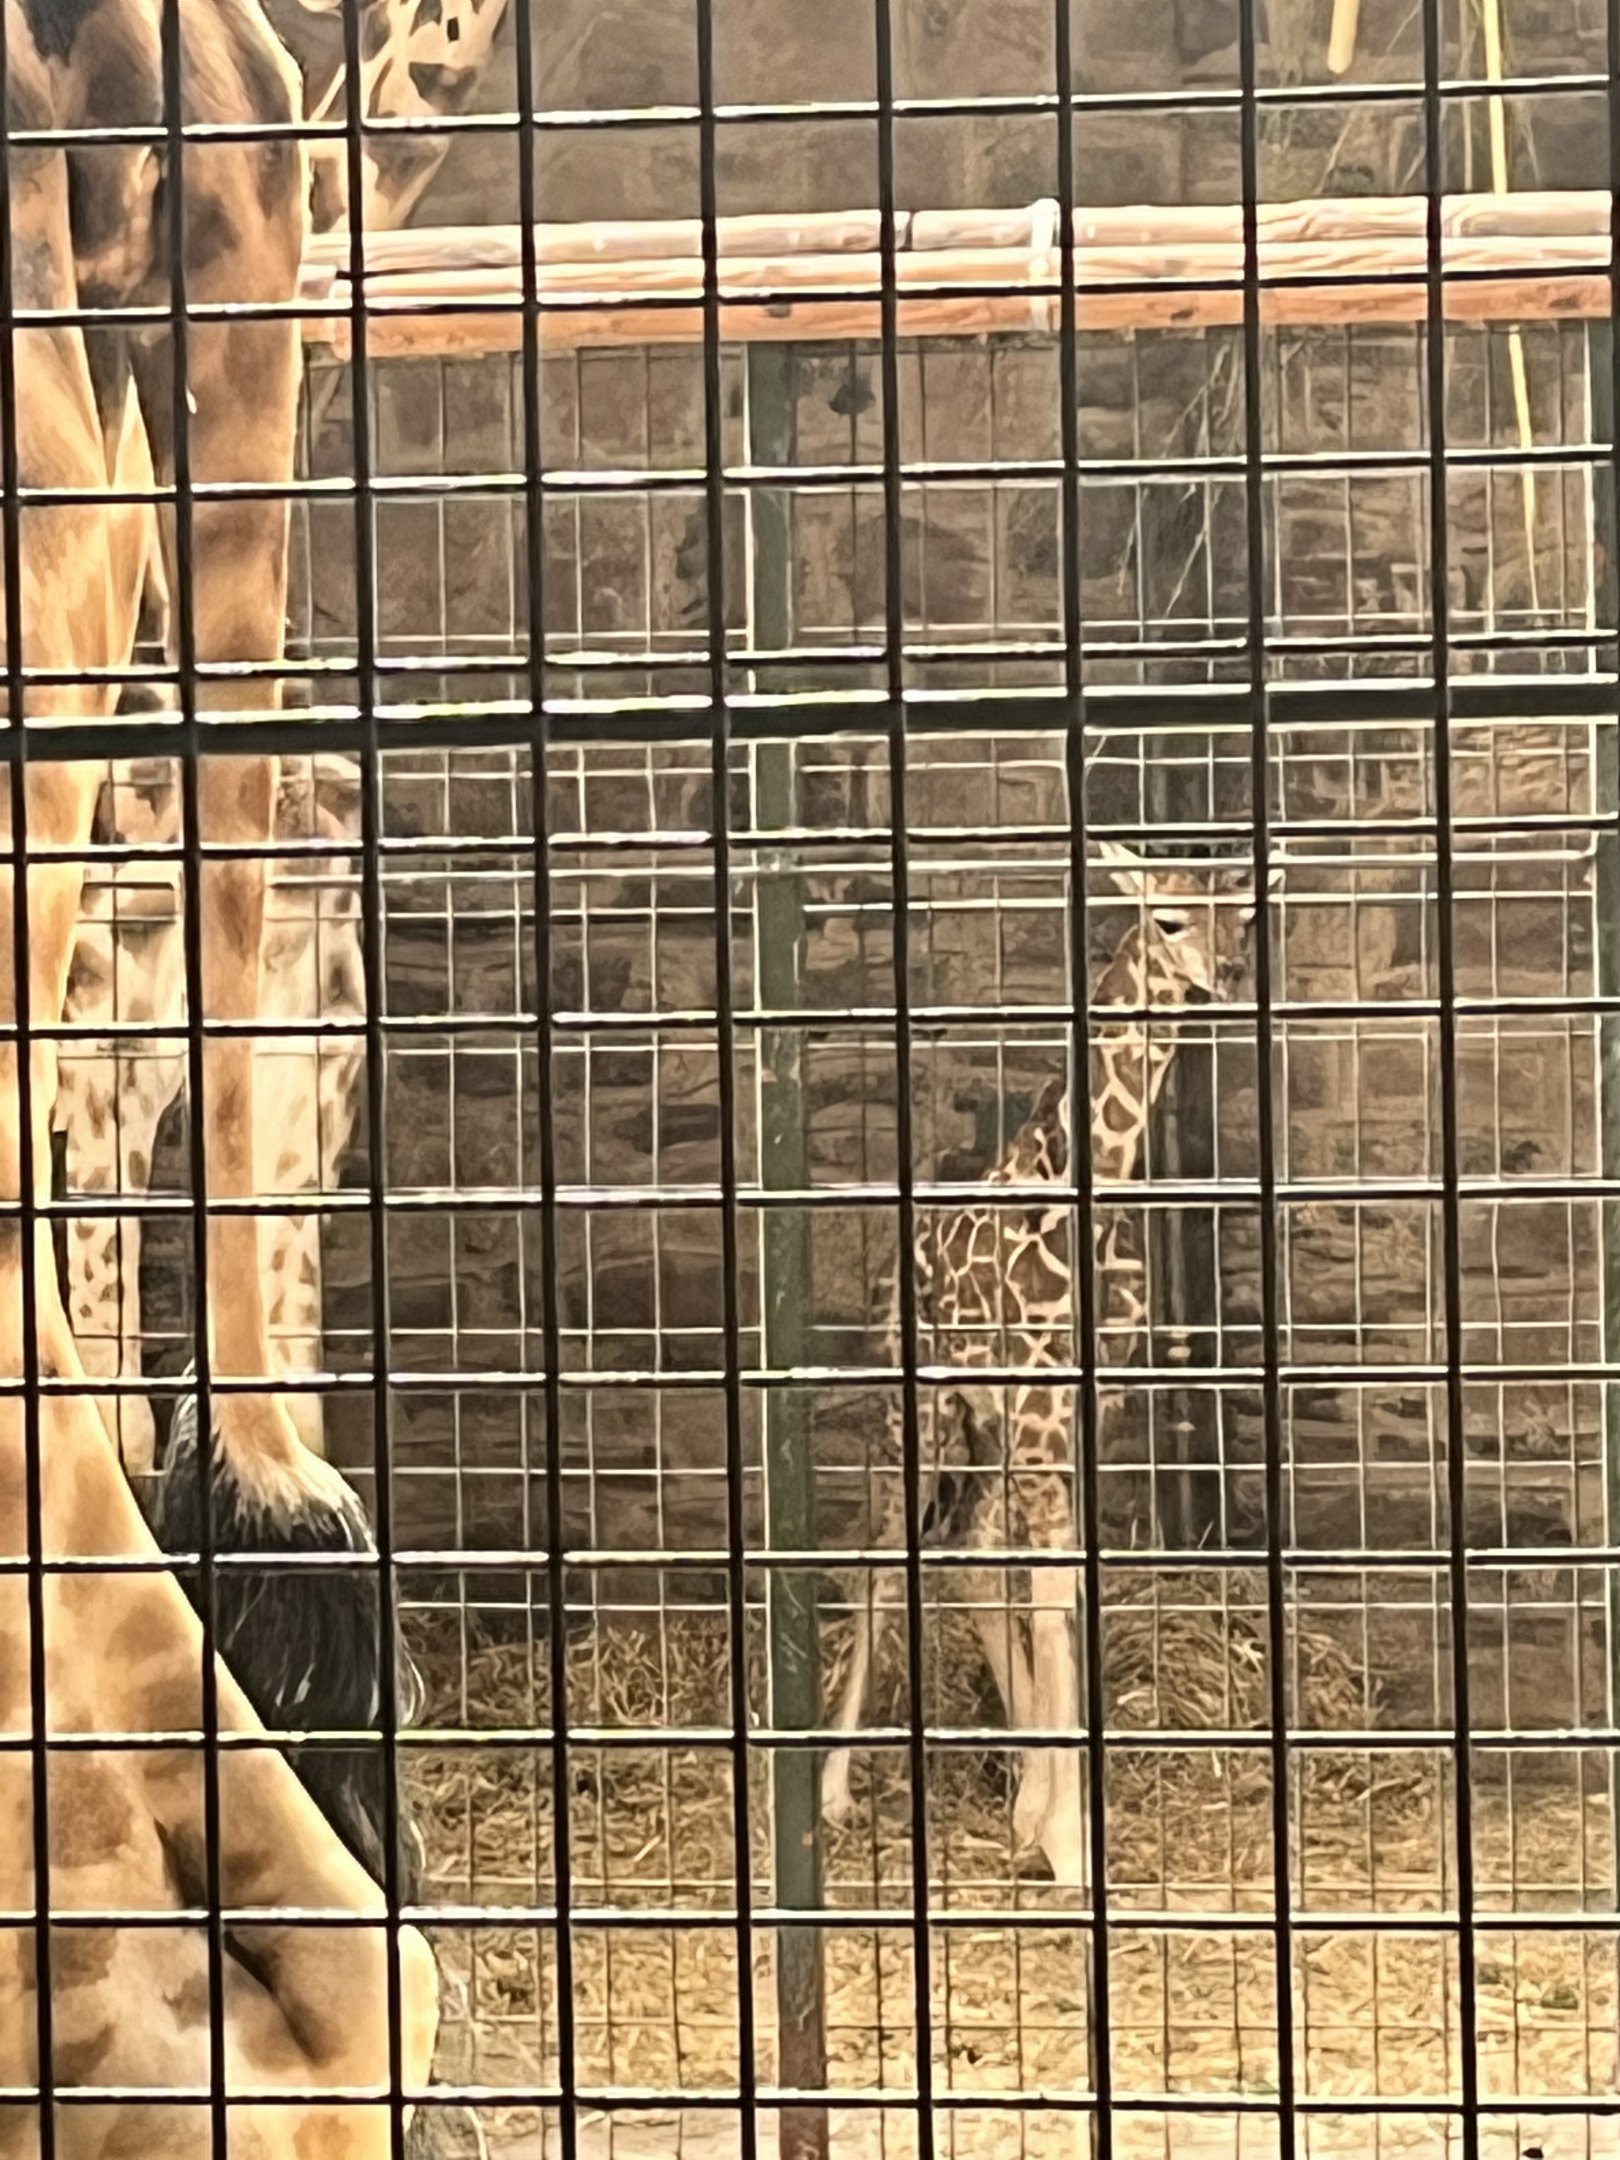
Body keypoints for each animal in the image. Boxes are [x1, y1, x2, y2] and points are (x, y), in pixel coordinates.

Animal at [821, 862, 1259, 1886]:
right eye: (1167, 917)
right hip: (918, 1411)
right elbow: (1053, 1591)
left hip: (983, 1427)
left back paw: (1015, 1797)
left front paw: (1051, 1817)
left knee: (976, 1546)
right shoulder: (1037, 1408)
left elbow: (1067, 1589)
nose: (1224, 975)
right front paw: (1067, 1841)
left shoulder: (1085, 1408)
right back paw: (829, 1792)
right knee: (882, 1553)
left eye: (1245, 920)